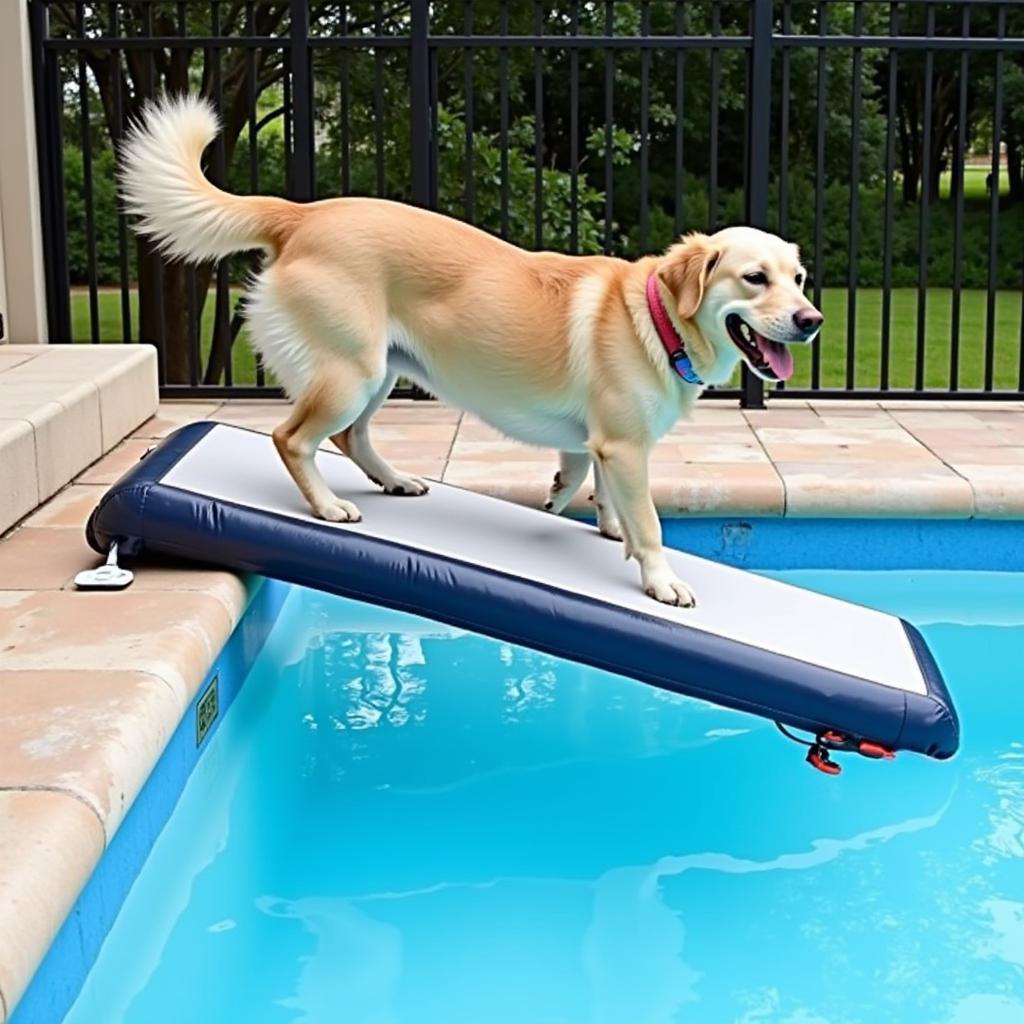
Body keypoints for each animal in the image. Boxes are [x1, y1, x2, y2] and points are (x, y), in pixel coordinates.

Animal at [121, 96, 823, 606]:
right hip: (352, 372)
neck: (655, 319)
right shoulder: (624, 446)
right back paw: (326, 505)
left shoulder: (601, 443)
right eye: (754, 278)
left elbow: (589, 481)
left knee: (349, 438)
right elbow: (646, 521)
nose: (813, 320)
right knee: (292, 439)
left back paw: (396, 480)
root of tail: (301, 214)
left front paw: (589, 515)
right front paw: (660, 578)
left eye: (799, 277)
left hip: (379, 372)